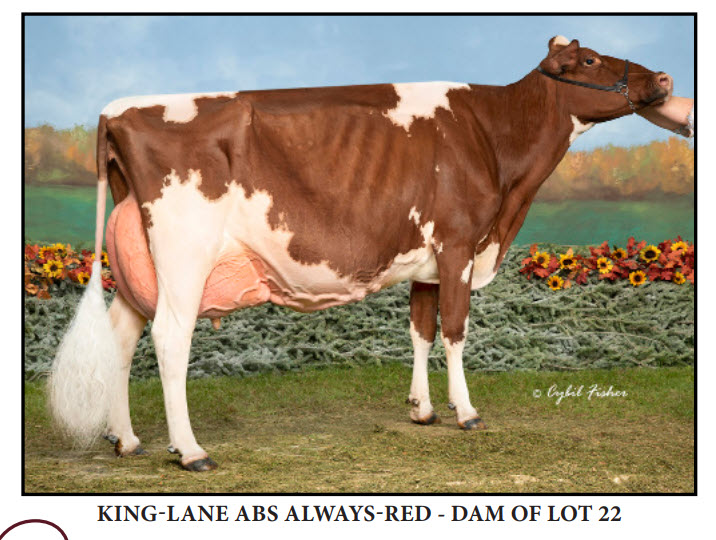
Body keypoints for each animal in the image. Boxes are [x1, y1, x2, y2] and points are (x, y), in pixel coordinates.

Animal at [49, 36, 673, 472]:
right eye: (590, 60)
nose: (664, 77)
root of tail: (117, 110)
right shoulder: (459, 245)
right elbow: (455, 330)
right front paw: (466, 412)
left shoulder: (428, 261)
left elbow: (421, 329)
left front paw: (422, 409)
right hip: (184, 255)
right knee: (169, 338)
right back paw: (191, 450)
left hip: (143, 264)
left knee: (122, 336)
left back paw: (127, 440)